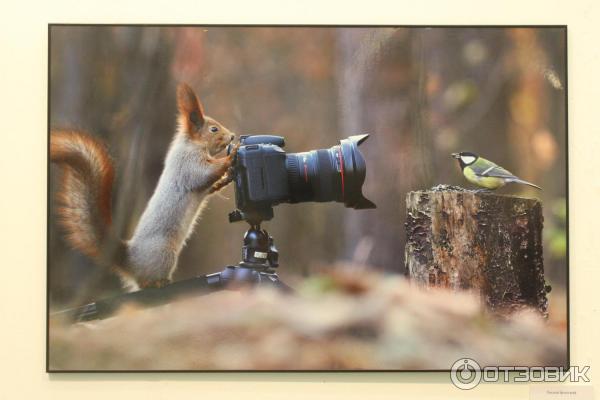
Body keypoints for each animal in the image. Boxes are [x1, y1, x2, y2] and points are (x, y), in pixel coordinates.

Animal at [51, 83, 239, 290]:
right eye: (214, 129)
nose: (232, 136)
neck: (192, 144)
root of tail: (131, 262)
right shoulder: (187, 164)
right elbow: (204, 173)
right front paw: (231, 156)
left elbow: (210, 185)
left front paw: (227, 177)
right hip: (164, 254)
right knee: (145, 282)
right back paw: (158, 282)